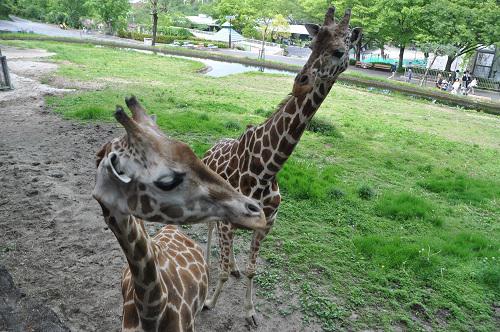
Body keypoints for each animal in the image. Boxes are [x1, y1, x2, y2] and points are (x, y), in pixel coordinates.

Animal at [201, 6, 362, 326]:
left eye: (339, 51)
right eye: (311, 46)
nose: (300, 82)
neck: (265, 170)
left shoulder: (267, 224)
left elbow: (252, 270)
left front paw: (250, 312)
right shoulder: (227, 220)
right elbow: (222, 271)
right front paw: (210, 301)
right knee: (210, 233)